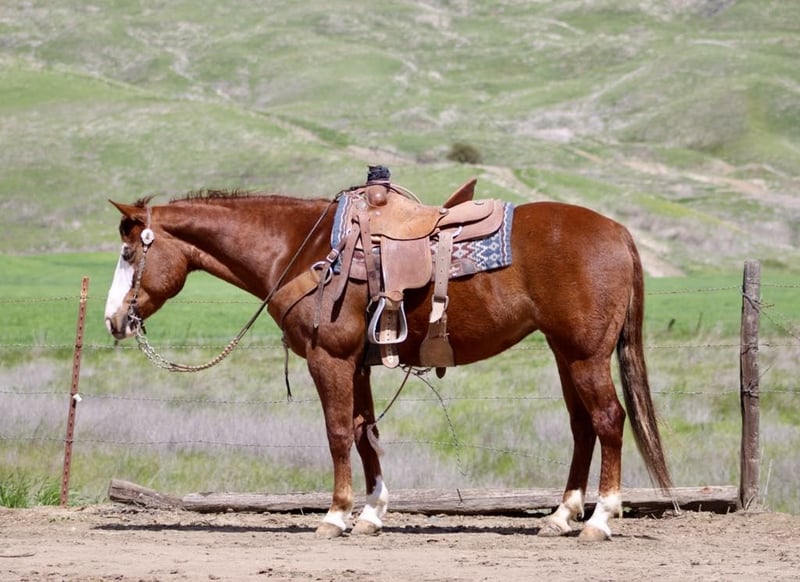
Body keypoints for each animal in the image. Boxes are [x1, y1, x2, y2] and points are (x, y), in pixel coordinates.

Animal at [104, 184, 672, 541]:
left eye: (130, 254)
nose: (113, 320)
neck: (302, 249)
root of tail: (618, 232)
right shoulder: (357, 364)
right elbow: (365, 433)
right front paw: (372, 514)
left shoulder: (329, 359)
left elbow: (337, 433)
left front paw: (335, 516)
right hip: (565, 353)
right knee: (582, 427)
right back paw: (560, 515)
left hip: (585, 355)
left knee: (609, 420)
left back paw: (599, 520)